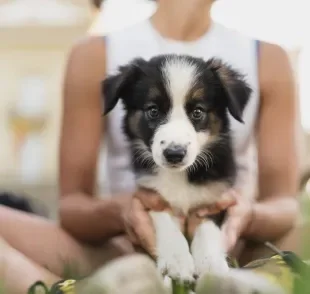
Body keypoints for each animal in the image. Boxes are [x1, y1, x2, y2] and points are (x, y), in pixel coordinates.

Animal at [101, 54, 252, 282]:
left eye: (197, 112)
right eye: (153, 110)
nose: (174, 154)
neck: (179, 176)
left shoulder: (214, 198)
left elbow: (207, 227)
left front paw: (211, 263)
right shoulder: (151, 196)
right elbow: (166, 222)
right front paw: (177, 261)